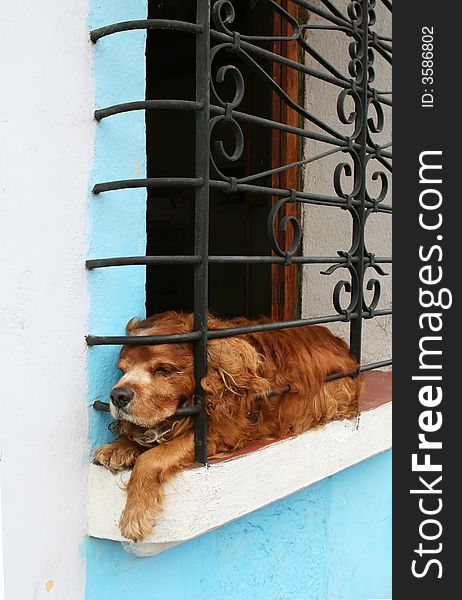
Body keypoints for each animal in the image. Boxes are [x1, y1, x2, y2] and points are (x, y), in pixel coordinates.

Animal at [94, 312, 360, 540]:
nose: (118, 396)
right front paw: (118, 447)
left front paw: (135, 514)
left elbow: (152, 458)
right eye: (123, 371)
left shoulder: (222, 431)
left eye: (163, 370)